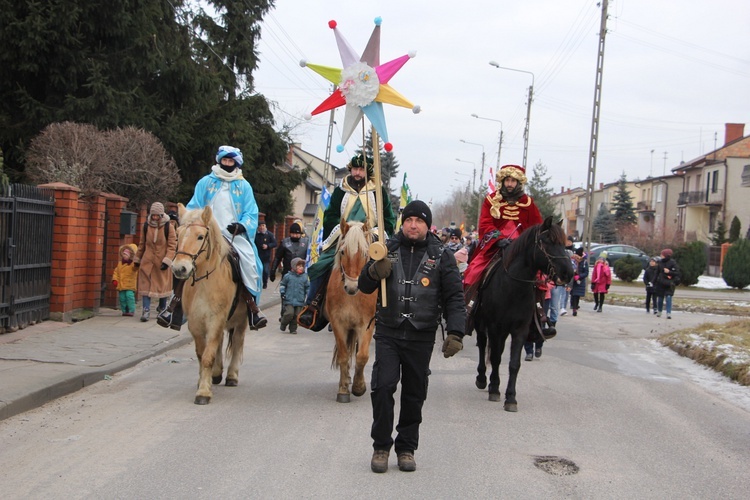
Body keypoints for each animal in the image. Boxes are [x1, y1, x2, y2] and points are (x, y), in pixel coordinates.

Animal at [171, 205, 247, 404]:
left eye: (200, 236)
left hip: (241, 320)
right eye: (178, 234)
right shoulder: (195, 323)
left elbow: (207, 356)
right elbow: (201, 354)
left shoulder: (216, 320)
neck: (205, 284)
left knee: (237, 342)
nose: (179, 268)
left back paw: (231, 376)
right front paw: (203, 382)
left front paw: (203, 393)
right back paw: (217, 373)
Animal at [326, 221, 378, 404]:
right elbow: (343, 356)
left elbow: (362, 356)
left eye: (365, 253)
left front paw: (358, 387)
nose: (352, 287)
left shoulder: (366, 324)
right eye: (342, 251)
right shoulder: (338, 324)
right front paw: (343, 390)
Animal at [476, 217, 576, 412]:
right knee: (483, 345)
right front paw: (495, 389)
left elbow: (514, 364)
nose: (568, 273)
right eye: (547, 242)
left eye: (564, 243)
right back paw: (483, 379)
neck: (513, 288)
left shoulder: (520, 330)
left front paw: (510, 398)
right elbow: (496, 358)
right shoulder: (495, 327)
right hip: (482, 324)